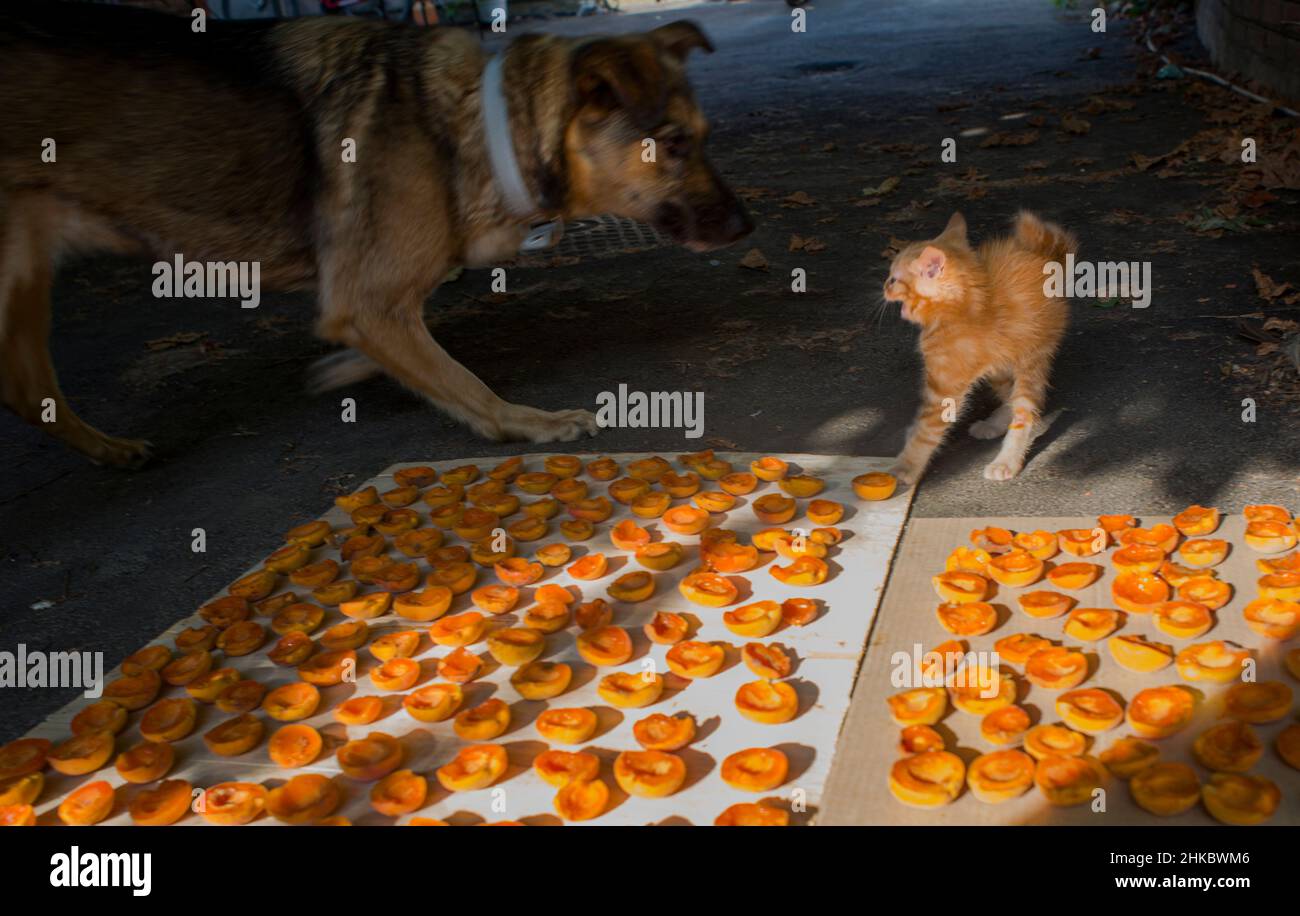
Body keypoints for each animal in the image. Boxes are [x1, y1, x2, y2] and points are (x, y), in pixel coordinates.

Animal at [0, 3, 754, 465]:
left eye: (704, 136)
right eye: (675, 143)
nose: (748, 226)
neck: (480, 123)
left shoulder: (369, 301)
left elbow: (404, 345)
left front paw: (341, 368)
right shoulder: (368, 299)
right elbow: (462, 380)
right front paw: (525, 421)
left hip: (26, 277)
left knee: (26, 388)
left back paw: (110, 450)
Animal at [883, 211, 1076, 485]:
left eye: (893, 280)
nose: (884, 287)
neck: (956, 308)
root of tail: (1046, 257)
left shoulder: (943, 388)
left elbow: (926, 432)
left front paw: (905, 468)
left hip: (1032, 358)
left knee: (1026, 410)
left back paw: (1006, 461)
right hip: (1000, 364)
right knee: (1011, 397)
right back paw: (994, 424)